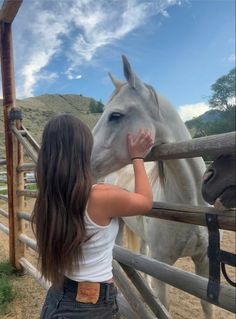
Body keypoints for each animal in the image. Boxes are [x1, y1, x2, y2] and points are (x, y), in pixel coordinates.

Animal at [91, 56, 213, 318]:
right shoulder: (163, 270)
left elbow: (206, 305)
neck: (188, 203)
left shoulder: (203, 261)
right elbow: (163, 306)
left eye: (115, 115)